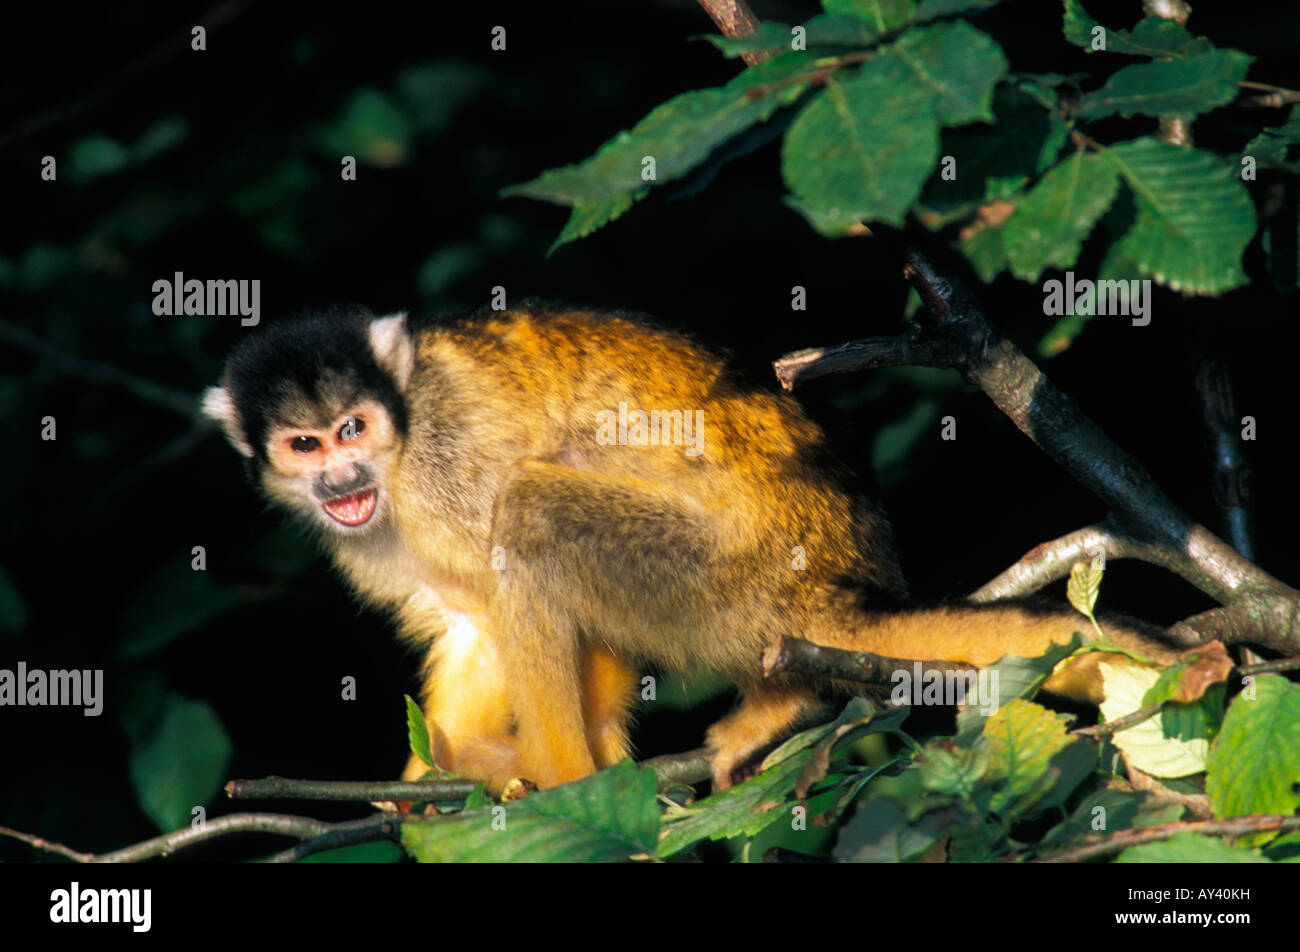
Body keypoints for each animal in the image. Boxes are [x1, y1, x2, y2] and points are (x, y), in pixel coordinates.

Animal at [202, 304, 1180, 792]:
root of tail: (838, 589)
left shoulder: (451, 459)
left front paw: (575, 776)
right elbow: (470, 622)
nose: (342, 478)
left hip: (725, 579)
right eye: (304, 444)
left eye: (353, 426)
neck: (402, 454)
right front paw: (439, 763)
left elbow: (512, 560)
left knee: (537, 508)